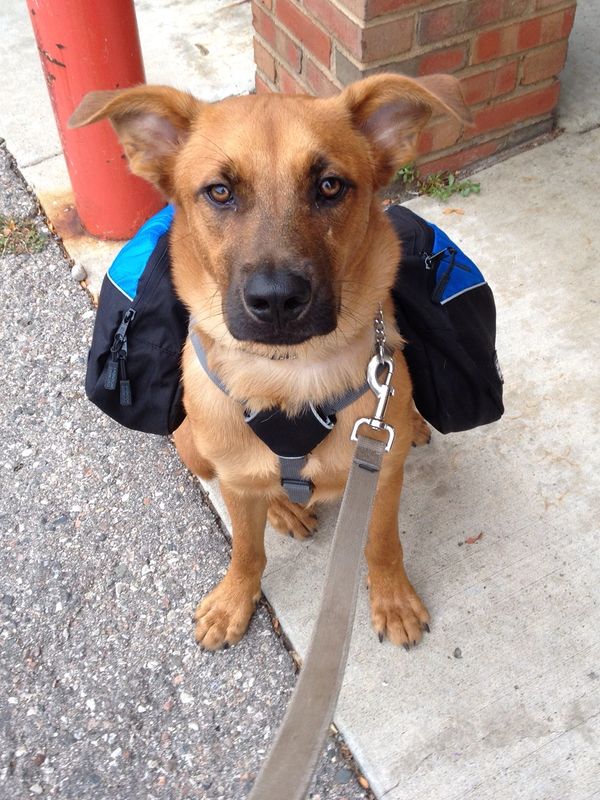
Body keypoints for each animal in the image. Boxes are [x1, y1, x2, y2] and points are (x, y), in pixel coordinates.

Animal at [70, 73, 472, 648]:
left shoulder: (381, 472)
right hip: (194, 448)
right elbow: (246, 549)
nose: (278, 300)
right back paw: (284, 508)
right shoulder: (237, 481)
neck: (291, 371)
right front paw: (236, 598)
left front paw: (392, 597)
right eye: (219, 191)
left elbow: (381, 542)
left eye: (330, 186)